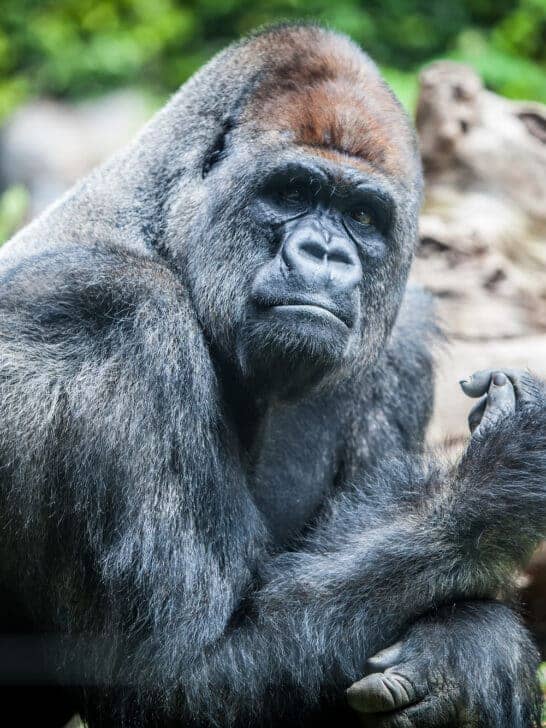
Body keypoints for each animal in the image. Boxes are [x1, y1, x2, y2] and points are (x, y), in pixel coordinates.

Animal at [0, 22, 544, 728]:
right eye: (292, 193)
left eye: (362, 217)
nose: (325, 253)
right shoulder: (109, 311)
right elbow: (173, 675)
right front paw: (498, 481)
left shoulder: (399, 342)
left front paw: (463, 651)